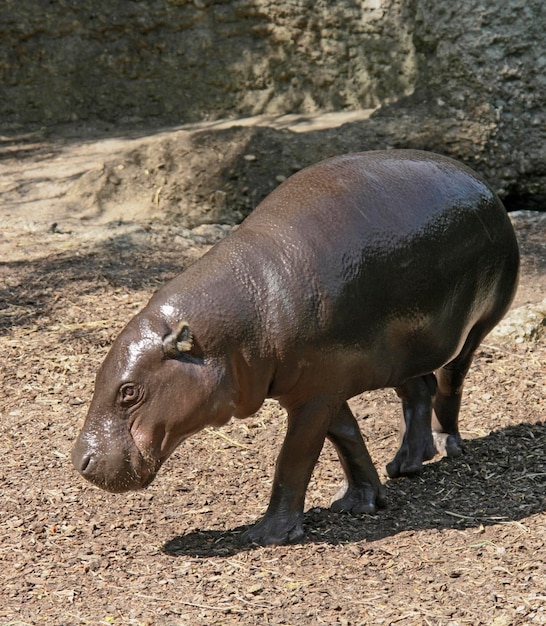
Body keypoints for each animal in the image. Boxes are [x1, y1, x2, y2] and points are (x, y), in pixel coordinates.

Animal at [70, 150, 516, 540]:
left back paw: (447, 446)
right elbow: (347, 437)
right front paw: (360, 501)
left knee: (449, 386)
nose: (79, 461)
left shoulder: (315, 395)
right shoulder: (317, 385)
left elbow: (295, 457)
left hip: (472, 330)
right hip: (402, 351)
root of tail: (484, 185)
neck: (234, 323)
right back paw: (407, 464)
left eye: (129, 392)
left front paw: (266, 535)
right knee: (419, 390)